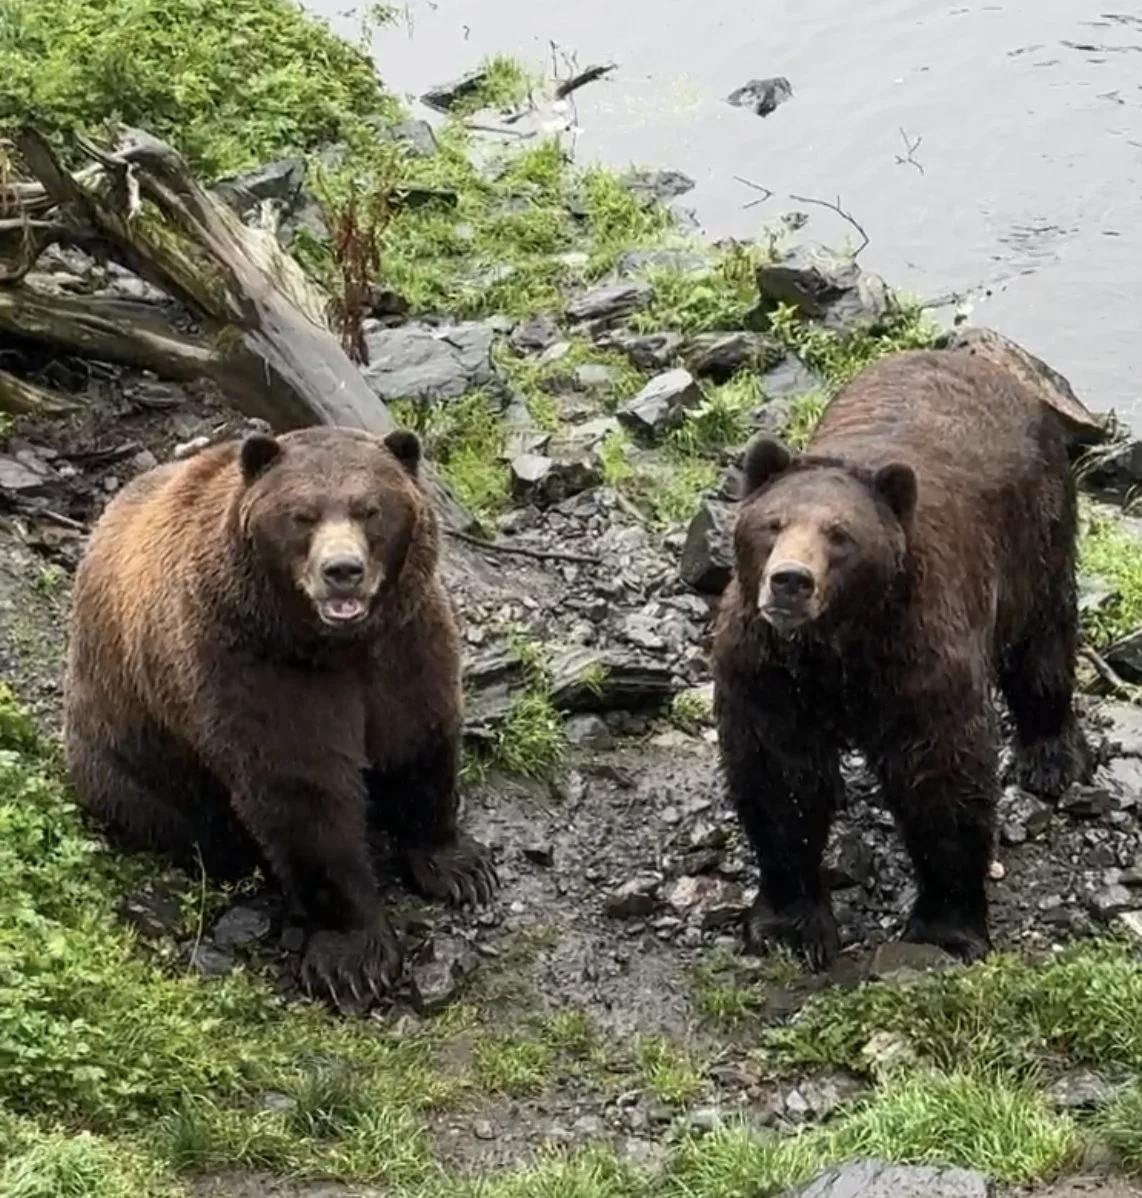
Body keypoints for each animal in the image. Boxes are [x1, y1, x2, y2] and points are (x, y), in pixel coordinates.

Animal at [63, 424, 497, 1005]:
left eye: (370, 509)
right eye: (302, 514)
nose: (343, 571)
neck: (334, 645)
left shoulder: (406, 640)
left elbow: (420, 740)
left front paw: (462, 869)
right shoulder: (250, 668)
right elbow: (302, 794)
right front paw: (353, 958)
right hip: (126, 761)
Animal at [711, 348, 1089, 969]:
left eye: (839, 534)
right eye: (773, 523)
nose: (790, 581)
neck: (837, 644)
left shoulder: (918, 660)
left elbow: (941, 778)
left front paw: (947, 927)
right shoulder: (768, 670)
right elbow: (779, 780)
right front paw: (790, 923)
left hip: (1036, 533)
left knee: (1042, 642)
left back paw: (1051, 754)